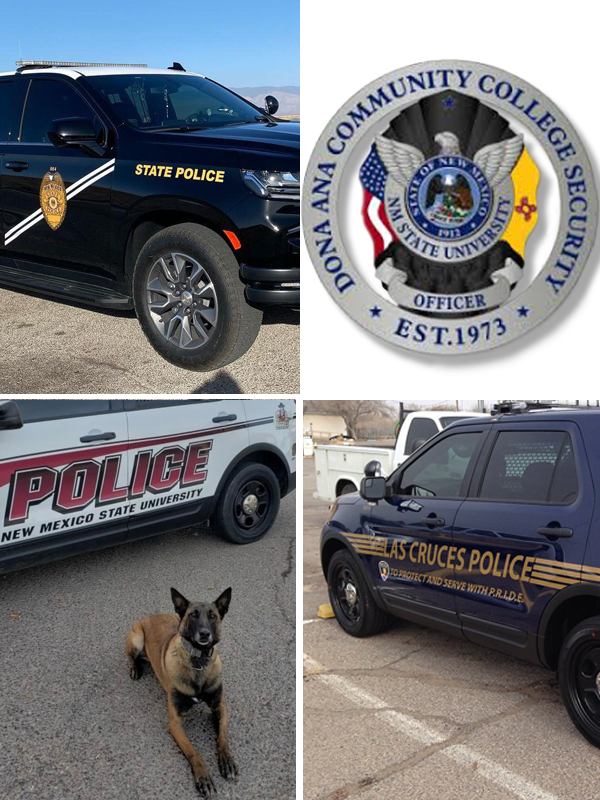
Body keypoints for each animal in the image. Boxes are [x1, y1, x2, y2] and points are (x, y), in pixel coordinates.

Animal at [126, 584, 237, 796]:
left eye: (212, 616)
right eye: (193, 615)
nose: (204, 633)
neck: (198, 662)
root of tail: (150, 616)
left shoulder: (219, 707)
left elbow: (223, 738)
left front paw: (226, 761)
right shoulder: (175, 722)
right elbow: (194, 751)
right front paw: (203, 777)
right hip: (137, 638)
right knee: (132, 657)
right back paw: (135, 667)